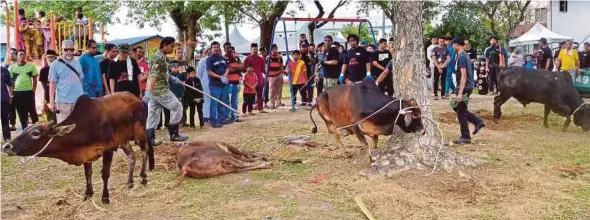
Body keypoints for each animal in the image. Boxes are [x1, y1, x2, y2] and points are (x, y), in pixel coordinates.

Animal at [1, 92, 155, 204]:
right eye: (27, 128)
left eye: (36, 133)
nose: (7, 146)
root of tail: (136, 98)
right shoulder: (86, 154)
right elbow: (88, 174)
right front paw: (88, 194)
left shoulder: (108, 149)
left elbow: (105, 174)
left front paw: (105, 197)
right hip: (124, 141)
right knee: (132, 156)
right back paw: (129, 182)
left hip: (139, 133)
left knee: (145, 151)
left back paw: (143, 177)